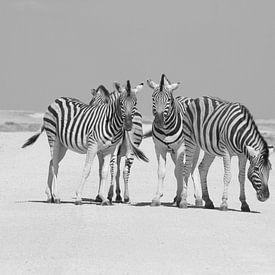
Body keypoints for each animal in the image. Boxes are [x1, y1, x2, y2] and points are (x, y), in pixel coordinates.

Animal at [148, 74, 204, 208]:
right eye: (153, 98)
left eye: (169, 100)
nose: (159, 121)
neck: (166, 130)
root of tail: (187, 98)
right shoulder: (159, 148)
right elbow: (162, 172)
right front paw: (157, 198)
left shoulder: (181, 148)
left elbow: (181, 171)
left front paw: (181, 198)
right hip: (174, 153)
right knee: (180, 170)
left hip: (194, 149)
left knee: (192, 169)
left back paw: (198, 199)